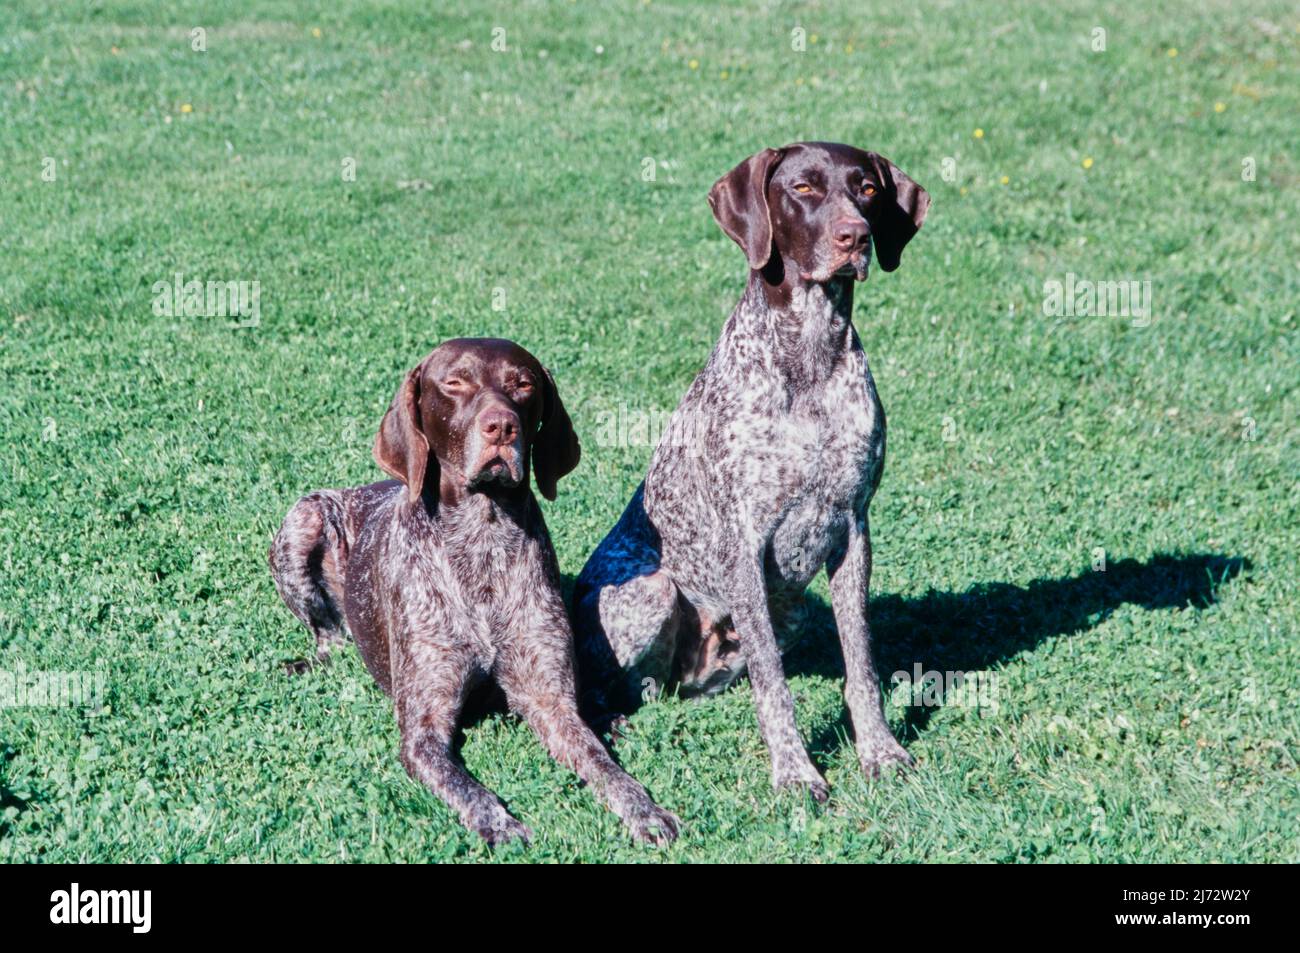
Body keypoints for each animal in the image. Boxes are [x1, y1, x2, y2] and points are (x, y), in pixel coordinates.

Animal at [271, 338, 681, 842]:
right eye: (454, 383)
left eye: (522, 384)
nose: (501, 426)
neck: (482, 537)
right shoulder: (424, 727)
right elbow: (465, 786)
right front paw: (498, 821)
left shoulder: (549, 701)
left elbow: (600, 762)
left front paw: (644, 809)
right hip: (302, 518)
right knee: (328, 635)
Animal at [574, 139, 930, 795]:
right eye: (803, 189)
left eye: (867, 189)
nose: (856, 237)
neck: (810, 353)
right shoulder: (743, 540)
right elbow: (773, 683)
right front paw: (794, 770)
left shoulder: (853, 526)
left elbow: (861, 663)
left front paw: (879, 750)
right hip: (652, 591)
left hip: (793, 609)